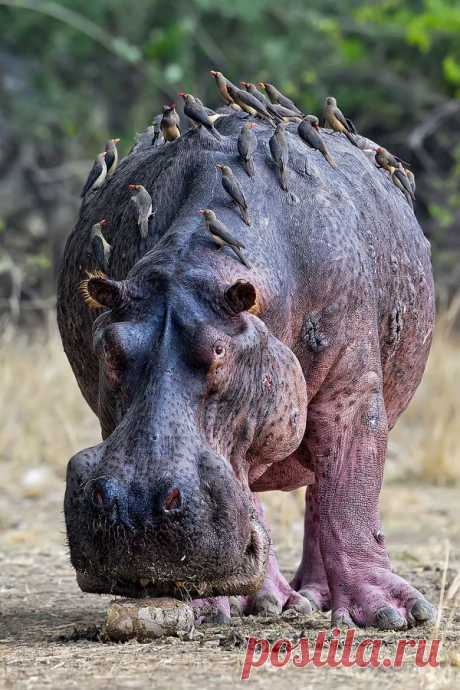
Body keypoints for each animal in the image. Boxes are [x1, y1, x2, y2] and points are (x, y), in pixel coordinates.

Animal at [57, 106, 435, 629]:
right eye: (110, 348)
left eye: (219, 351)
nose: (138, 506)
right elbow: (256, 495)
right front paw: (211, 606)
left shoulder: (351, 390)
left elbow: (349, 492)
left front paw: (392, 614)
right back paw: (272, 601)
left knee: (321, 493)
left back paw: (315, 598)